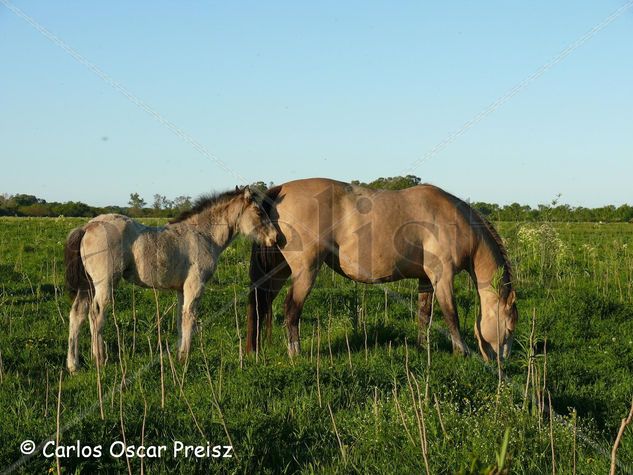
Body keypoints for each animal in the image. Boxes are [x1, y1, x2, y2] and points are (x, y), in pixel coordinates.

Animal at [63, 184, 276, 374]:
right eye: (259, 212)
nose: (274, 238)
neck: (203, 235)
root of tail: (88, 226)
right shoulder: (195, 286)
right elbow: (190, 317)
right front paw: (184, 359)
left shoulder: (181, 289)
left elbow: (181, 319)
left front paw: (178, 355)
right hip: (104, 284)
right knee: (96, 314)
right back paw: (100, 360)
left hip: (87, 285)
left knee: (77, 314)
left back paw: (74, 366)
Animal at [247, 178, 520, 360]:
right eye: (509, 328)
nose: (501, 362)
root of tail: (279, 190)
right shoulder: (443, 277)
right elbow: (451, 315)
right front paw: (460, 351)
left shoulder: (426, 280)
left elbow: (424, 315)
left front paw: (423, 347)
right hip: (305, 272)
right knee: (291, 309)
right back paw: (295, 353)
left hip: (279, 272)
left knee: (261, 305)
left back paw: (254, 350)